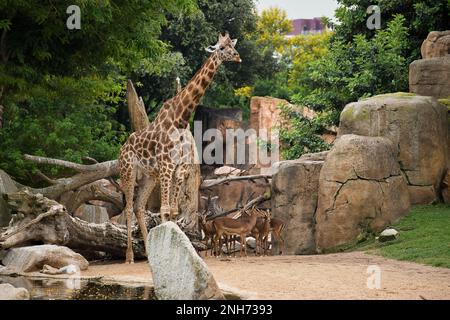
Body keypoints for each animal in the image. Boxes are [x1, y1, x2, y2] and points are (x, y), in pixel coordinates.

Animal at [118, 31, 241, 262]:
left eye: (232, 45)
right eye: (221, 48)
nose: (237, 57)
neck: (180, 119)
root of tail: (123, 148)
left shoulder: (179, 168)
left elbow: (174, 210)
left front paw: (176, 250)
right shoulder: (167, 165)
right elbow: (165, 208)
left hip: (150, 176)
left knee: (139, 207)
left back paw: (148, 250)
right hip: (127, 171)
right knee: (129, 208)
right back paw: (129, 256)